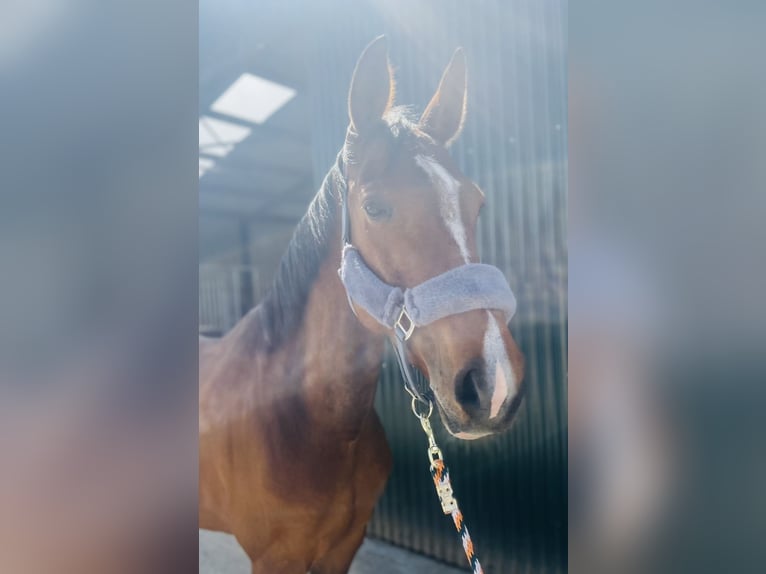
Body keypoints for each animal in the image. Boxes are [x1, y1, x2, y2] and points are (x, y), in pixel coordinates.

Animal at [199, 36, 526, 574]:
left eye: (476, 203)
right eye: (373, 207)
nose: (494, 385)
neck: (304, 422)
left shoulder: (344, 545)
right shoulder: (275, 558)